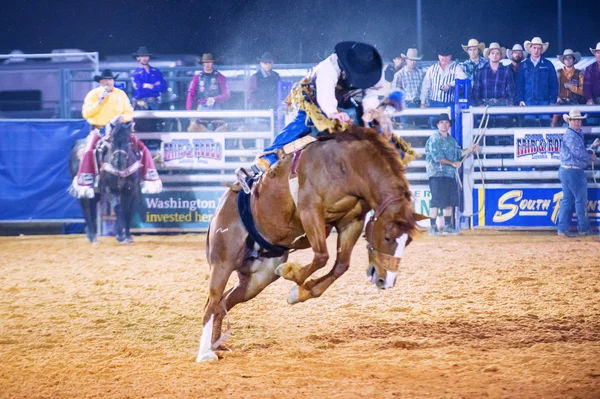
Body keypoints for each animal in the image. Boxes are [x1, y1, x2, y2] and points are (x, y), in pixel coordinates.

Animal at [197, 126, 422, 362]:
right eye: (387, 237)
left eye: (408, 241)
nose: (385, 280)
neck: (346, 164)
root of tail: (221, 207)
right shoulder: (310, 210)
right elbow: (322, 257)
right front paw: (292, 276)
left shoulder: (352, 222)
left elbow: (340, 265)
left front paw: (300, 292)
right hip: (223, 262)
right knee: (212, 303)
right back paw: (205, 354)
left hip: (257, 280)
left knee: (223, 302)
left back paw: (216, 345)